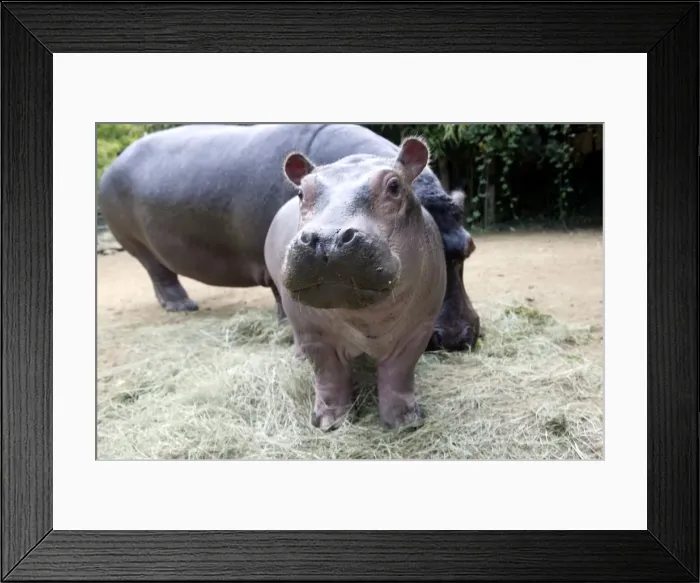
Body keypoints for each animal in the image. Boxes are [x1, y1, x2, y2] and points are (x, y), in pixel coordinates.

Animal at [98, 123, 479, 350]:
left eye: (469, 247)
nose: (455, 338)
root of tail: (113, 162)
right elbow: (284, 295)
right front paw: (287, 323)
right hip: (138, 246)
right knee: (160, 274)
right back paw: (182, 306)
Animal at [264, 138, 446, 430]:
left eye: (395, 186)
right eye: (302, 193)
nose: (327, 239)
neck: (367, 318)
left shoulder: (418, 329)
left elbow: (399, 374)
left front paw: (404, 422)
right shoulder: (315, 335)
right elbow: (329, 376)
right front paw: (329, 423)